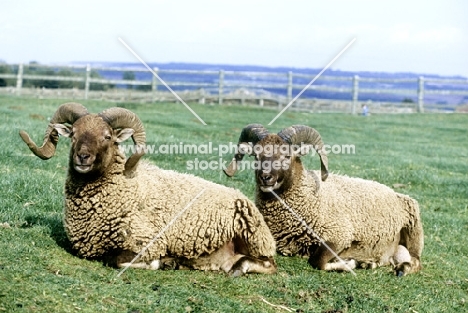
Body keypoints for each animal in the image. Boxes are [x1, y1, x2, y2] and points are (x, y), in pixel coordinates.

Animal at [19, 103, 278, 276]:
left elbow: (117, 259)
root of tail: (241, 195)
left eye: (107, 136)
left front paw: (159, 262)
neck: (126, 187)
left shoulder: (148, 240)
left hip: (255, 237)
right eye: (72, 134)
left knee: (268, 264)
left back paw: (239, 268)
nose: (83, 157)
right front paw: (168, 262)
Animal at [224, 124, 424, 276]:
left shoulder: (339, 235)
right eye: (256, 156)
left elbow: (318, 260)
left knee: (416, 260)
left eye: (287, 155)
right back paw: (370, 263)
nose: (265, 178)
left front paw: (349, 263)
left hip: (414, 230)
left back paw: (402, 269)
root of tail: (394, 192)